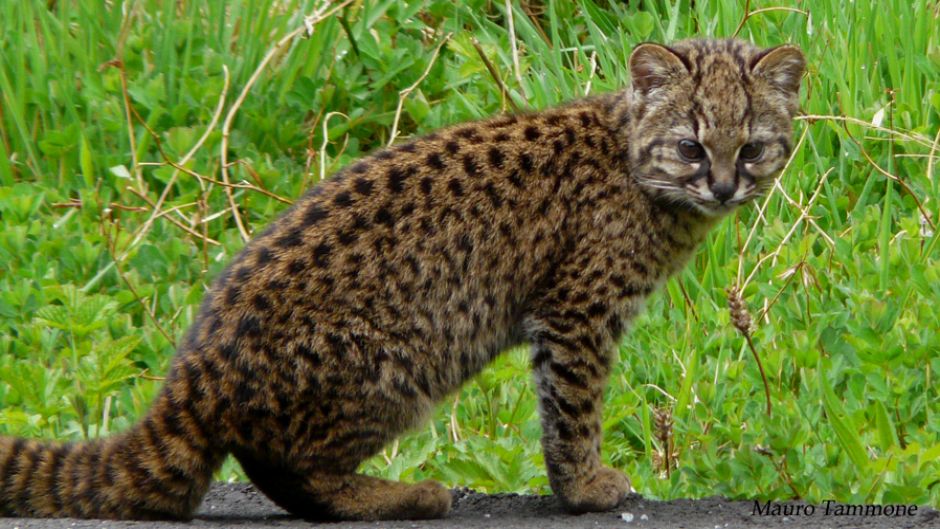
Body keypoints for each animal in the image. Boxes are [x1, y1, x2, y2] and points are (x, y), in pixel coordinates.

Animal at [0, 38, 804, 520]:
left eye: (753, 147)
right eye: (691, 146)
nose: (726, 187)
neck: (635, 165)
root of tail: (193, 372)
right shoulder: (577, 312)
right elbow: (573, 410)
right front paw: (584, 487)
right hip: (404, 356)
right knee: (295, 470)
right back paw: (401, 493)